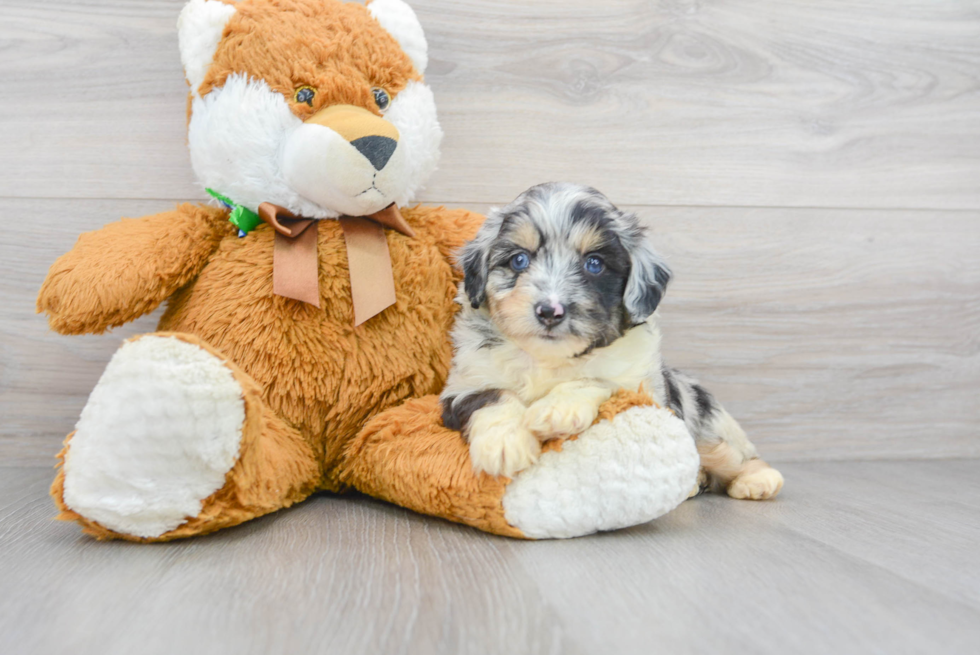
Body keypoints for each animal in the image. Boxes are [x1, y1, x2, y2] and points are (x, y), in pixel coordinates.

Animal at [440, 184, 784, 502]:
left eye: (594, 264)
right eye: (519, 260)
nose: (550, 311)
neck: (551, 359)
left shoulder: (641, 387)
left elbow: (597, 379)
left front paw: (556, 410)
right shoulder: (461, 385)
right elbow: (492, 395)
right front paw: (504, 443)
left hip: (708, 429)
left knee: (732, 454)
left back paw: (757, 480)